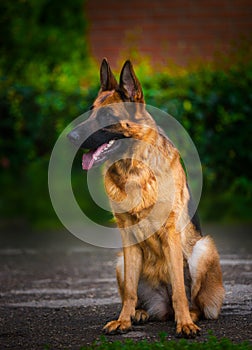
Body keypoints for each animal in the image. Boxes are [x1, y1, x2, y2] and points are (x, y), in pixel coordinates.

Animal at [67, 58, 224, 338]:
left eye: (106, 117)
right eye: (90, 112)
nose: (70, 137)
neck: (134, 169)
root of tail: (163, 307)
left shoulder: (171, 232)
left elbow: (180, 291)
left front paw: (185, 324)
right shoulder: (127, 236)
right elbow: (130, 291)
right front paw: (123, 321)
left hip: (203, 249)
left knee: (192, 300)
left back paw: (188, 316)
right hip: (120, 261)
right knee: (137, 296)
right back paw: (138, 313)